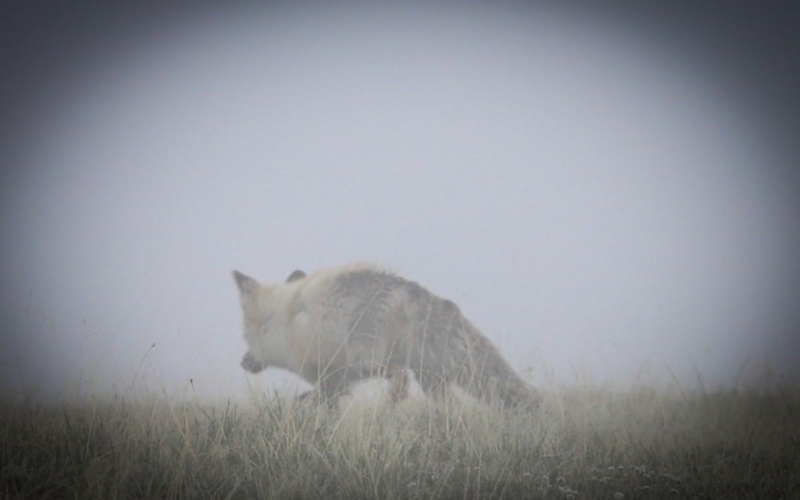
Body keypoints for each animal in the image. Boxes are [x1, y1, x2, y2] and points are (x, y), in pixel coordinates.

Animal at [232, 263, 540, 409]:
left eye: (248, 338)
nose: (243, 363)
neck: (287, 325)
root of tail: (406, 291)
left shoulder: (331, 378)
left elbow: (315, 400)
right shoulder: (333, 384)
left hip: (371, 362)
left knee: (400, 380)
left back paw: (389, 408)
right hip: (432, 379)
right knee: (446, 406)